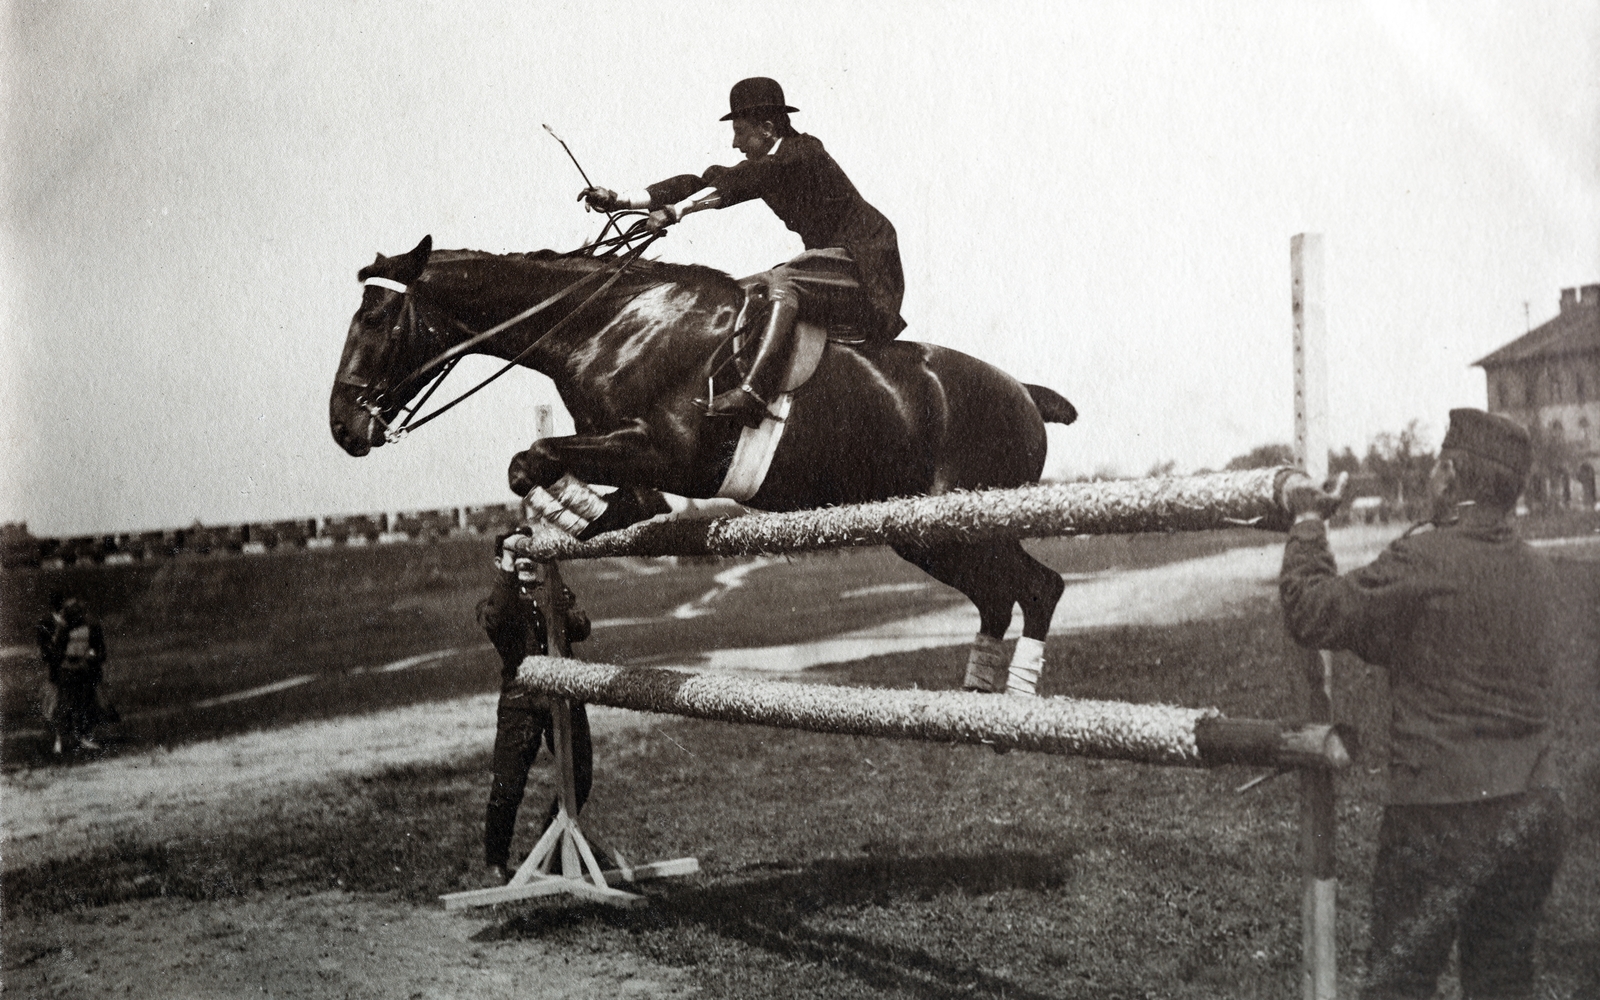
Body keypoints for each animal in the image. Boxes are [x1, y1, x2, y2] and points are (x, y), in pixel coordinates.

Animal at [330, 234, 1078, 691]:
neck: (605, 324)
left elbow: (531, 459)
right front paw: (558, 525)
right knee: (999, 594)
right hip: (923, 535)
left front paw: (556, 511)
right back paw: (977, 694)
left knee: (1038, 587)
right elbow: (603, 495)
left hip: (963, 520)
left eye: (375, 317)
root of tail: (1024, 394)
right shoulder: (636, 462)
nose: (343, 426)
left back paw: (1016, 695)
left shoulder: (671, 455)